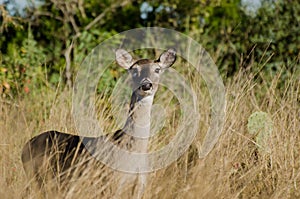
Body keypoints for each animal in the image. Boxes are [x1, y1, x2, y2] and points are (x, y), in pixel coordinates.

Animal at [22, 47, 177, 197]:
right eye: (134, 70)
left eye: (157, 69)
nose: (146, 85)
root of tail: (25, 146)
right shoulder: (110, 182)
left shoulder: (140, 187)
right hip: (36, 178)